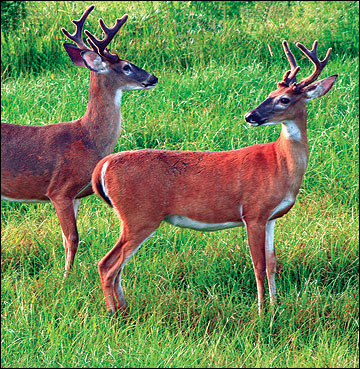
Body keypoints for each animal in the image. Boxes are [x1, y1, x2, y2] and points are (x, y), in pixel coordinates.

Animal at [0, 5, 158, 276]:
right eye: (126, 66)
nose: (153, 77)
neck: (87, 139)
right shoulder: (59, 190)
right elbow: (72, 237)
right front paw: (65, 278)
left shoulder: (74, 196)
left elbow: (66, 240)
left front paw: (68, 273)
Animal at [90, 41, 338, 316]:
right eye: (271, 93)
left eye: (283, 98)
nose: (250, 116)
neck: (279, 163)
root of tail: (104, 165)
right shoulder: (253, 212)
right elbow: (259, 265)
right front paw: (262, 313)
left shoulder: (271, 217)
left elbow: (273, 263)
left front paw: (275, 307)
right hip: (139, 216)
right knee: (107, 264)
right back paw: (114, 313)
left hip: (135, 218)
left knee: (116, 266)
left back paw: (123, 308)